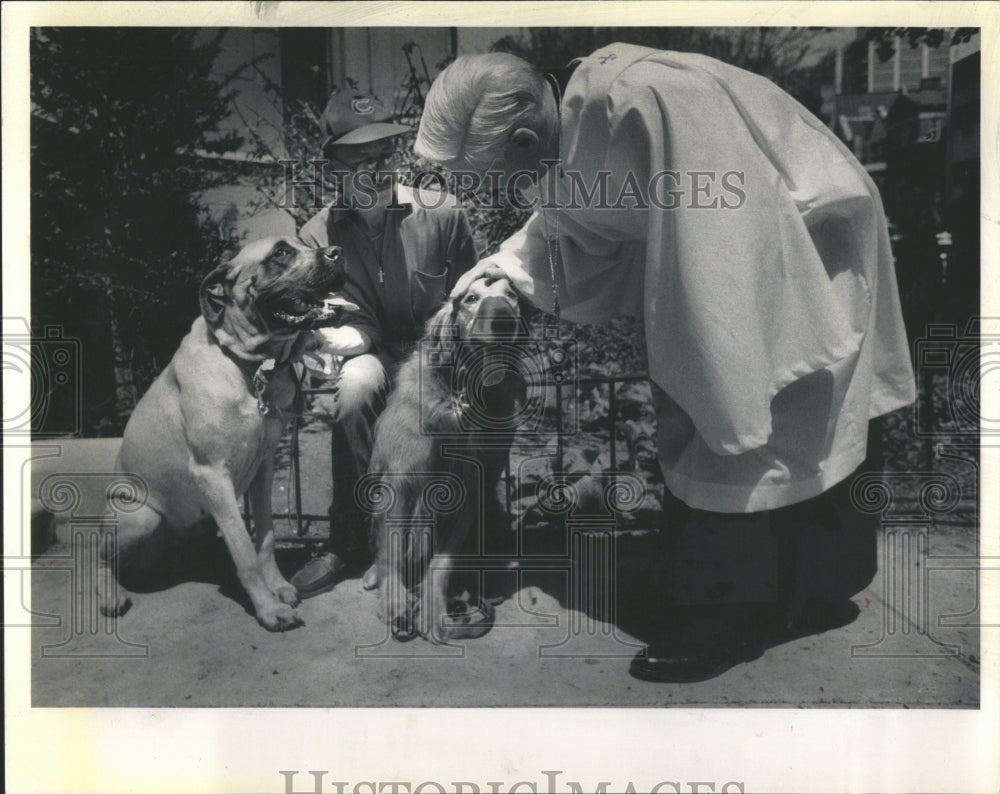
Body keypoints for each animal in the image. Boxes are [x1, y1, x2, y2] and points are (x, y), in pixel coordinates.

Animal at [94, 237, 360, 632]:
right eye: (280, 253)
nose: (338, 252)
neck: (250, 366)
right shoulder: (212, 475)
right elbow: (244, 549)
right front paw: (268, 609)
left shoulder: (264, 465)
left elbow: (264, 536)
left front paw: (277, 586)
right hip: (140, 517)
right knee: (98, 556)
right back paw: (111, 594)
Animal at [364, 272, 528, 644]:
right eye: (470, 298)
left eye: (511, 295)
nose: (503, 319)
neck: (463, 395)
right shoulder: (401, 484)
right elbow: (392, 551)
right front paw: (396, 601)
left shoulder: (468, 492)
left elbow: (442, 561)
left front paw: (433, 609)